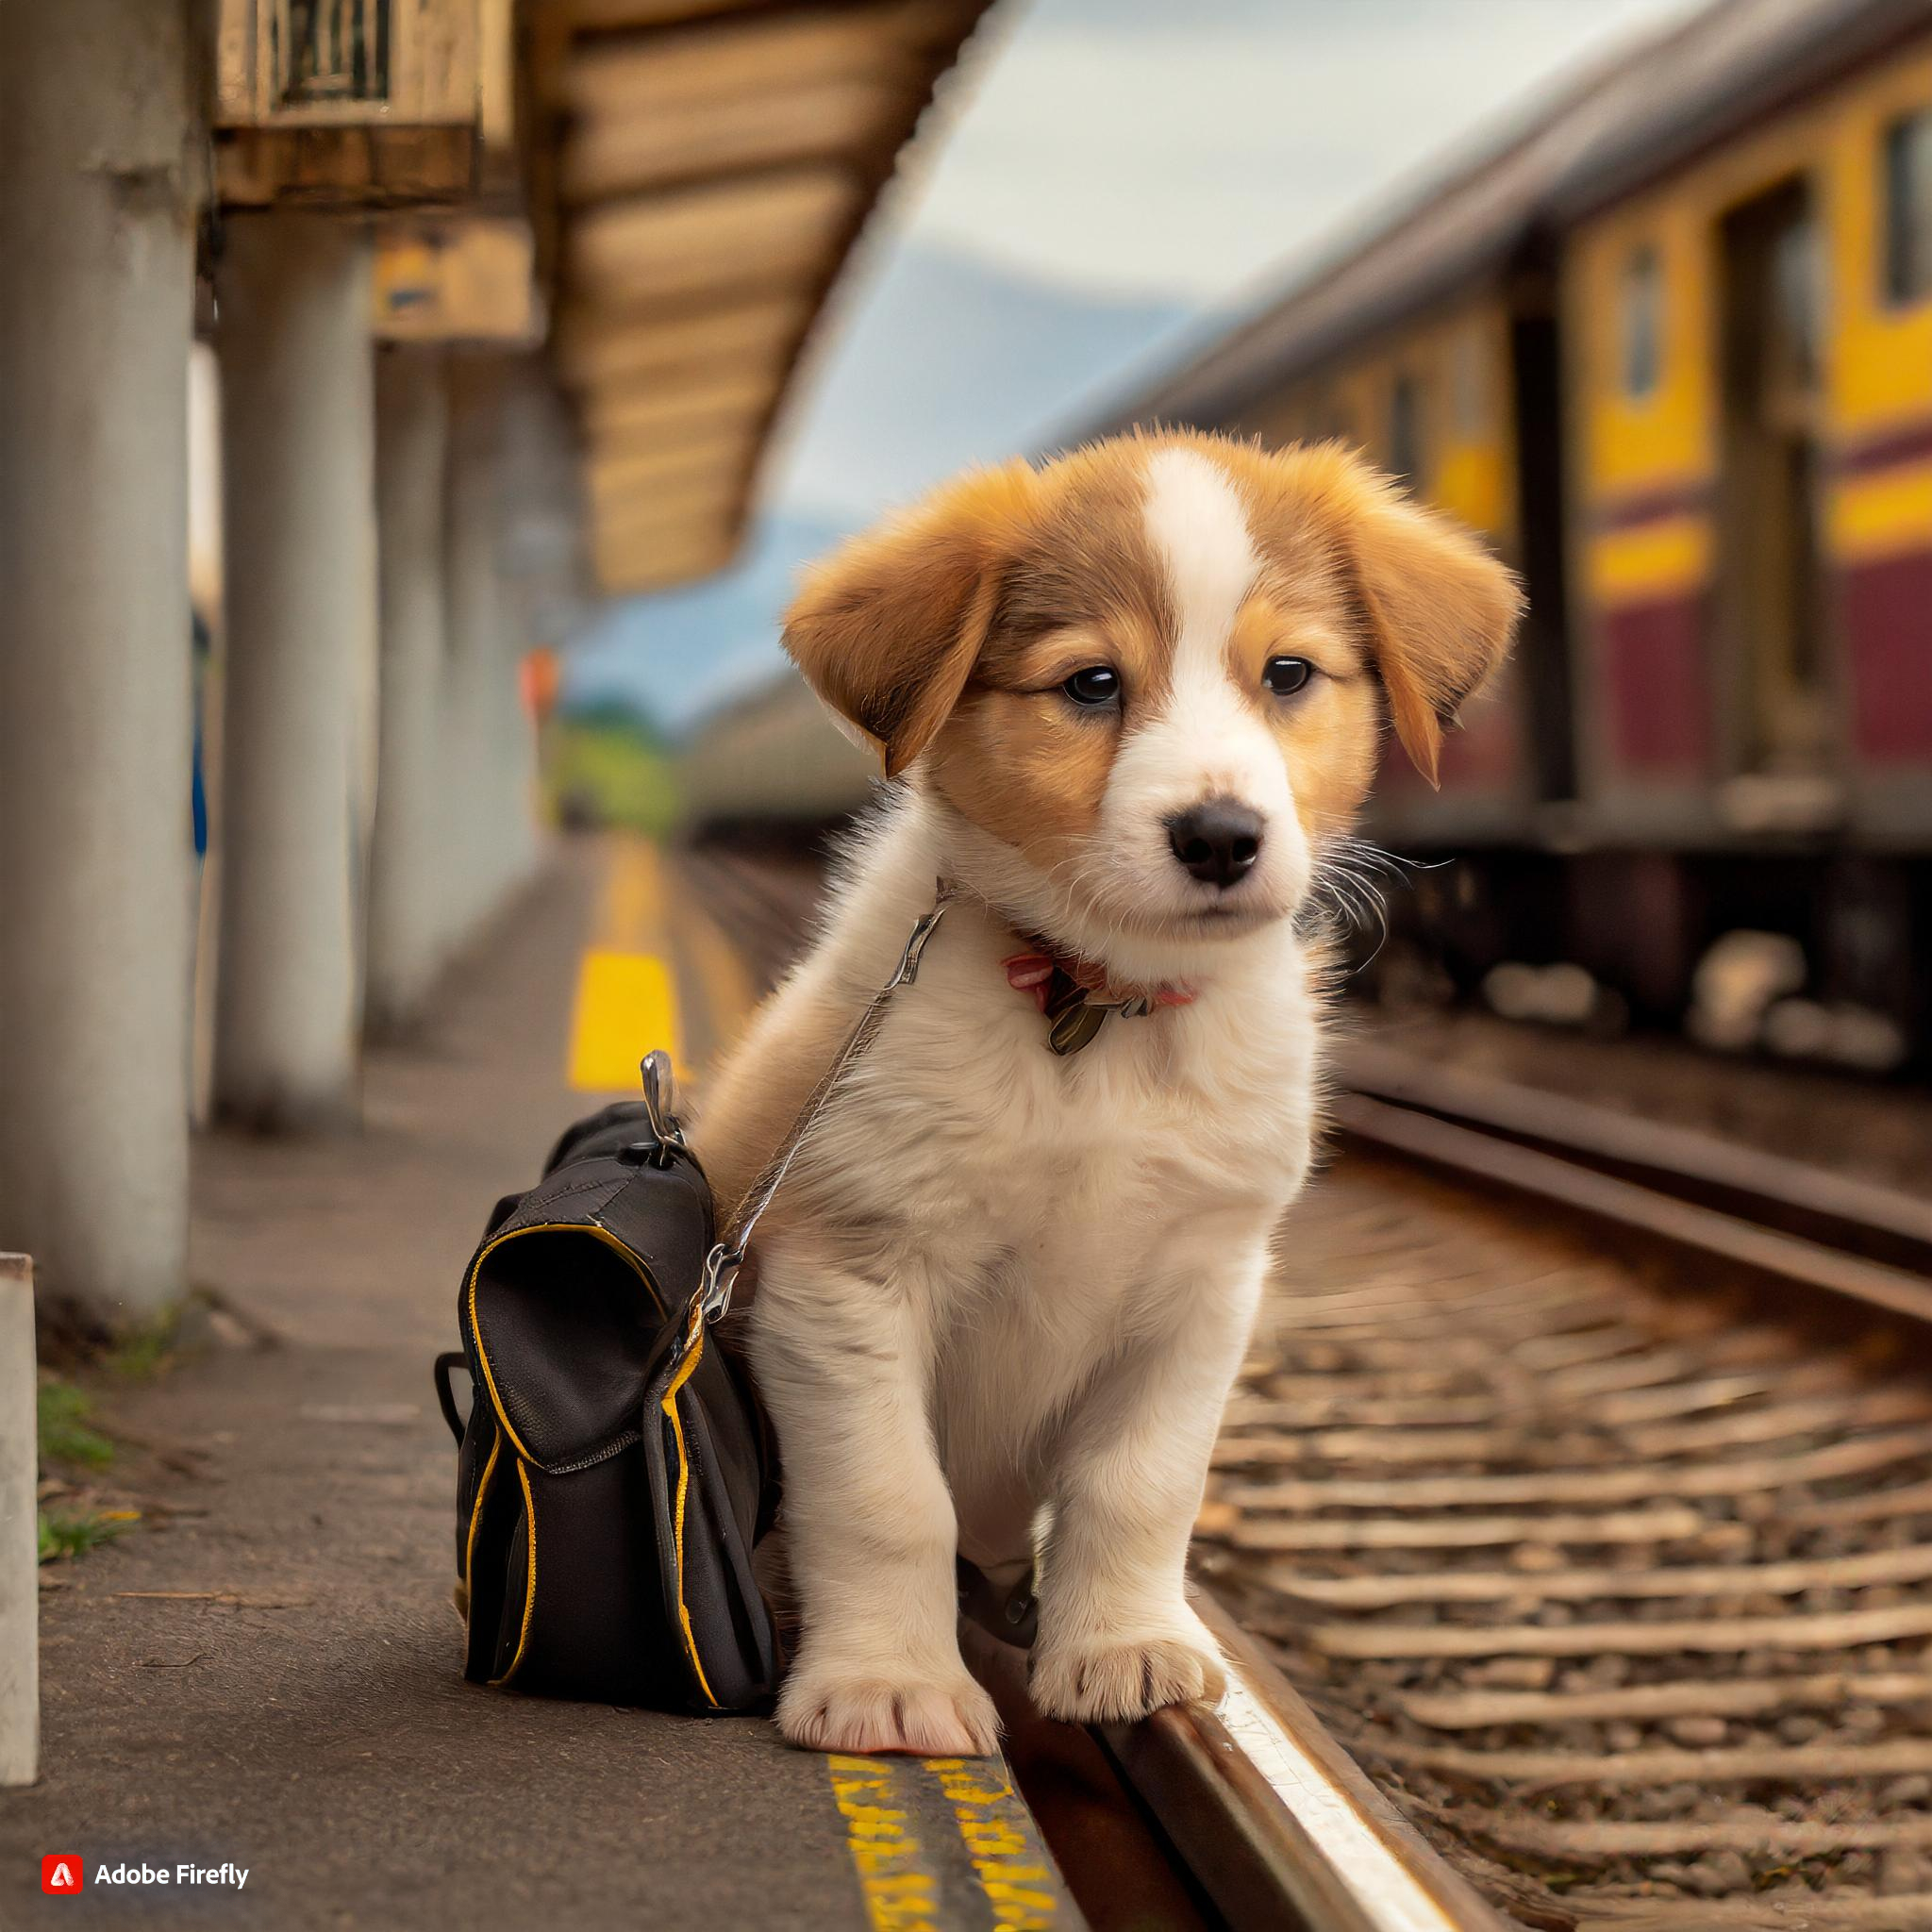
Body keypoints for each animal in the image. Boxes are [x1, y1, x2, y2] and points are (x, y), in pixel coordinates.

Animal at [688, 430, 1514, 1761]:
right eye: (1088, 685)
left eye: (1288, 672)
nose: (1219, 836)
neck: (1098, 1013)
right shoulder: (848, 1272)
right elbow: (887, 1496)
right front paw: (889, 1680)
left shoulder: (1202, 1285)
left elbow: (1136, 1485)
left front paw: (1119, 1645)